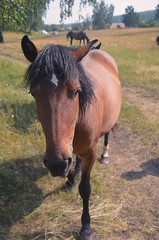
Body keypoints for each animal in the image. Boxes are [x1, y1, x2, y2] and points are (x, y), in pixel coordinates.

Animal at [21, 35, 121, 240]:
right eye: (33, 93)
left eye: (76, 91)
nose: (56, 164)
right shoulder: (66, 147)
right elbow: (72, 164)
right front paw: (70, 181)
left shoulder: (90, 151)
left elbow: (86, 189)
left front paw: (86, 227)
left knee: (107, 134)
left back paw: (105, 155)